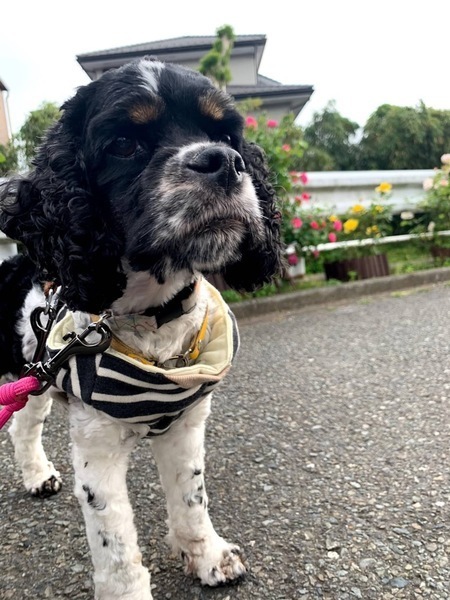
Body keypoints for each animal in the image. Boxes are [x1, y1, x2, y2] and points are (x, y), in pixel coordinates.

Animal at [0, 57, 282, 599]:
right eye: (124, 144)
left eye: (226, 134)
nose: (224, 161)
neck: (151, 319)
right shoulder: (97, 448)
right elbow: (115, 545)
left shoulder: (186, 425)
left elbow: (192, 498)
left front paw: (206, 556)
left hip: (35, 375)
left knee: (23, 426)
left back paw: (38, 476)